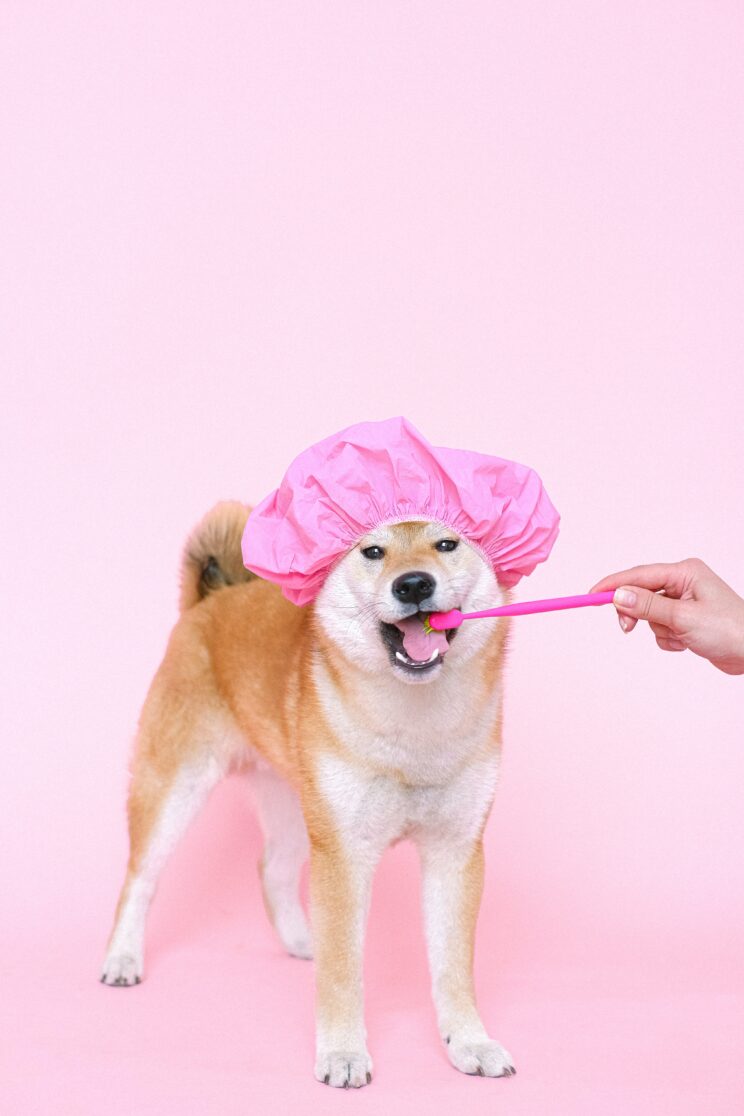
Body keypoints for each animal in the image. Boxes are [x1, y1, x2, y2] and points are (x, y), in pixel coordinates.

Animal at [100, 502, 517, 1084]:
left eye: (447, 544)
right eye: (373, 551)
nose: (413, 584)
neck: (414, 733)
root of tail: (210, 601)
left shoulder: (455, 853)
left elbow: (453, 967)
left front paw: (470, 1042)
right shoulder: (342, 854)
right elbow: (343, 970)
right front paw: (342, 1053)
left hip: (298, 810)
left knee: (270, 868)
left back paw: (303, 940)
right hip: (177, 788)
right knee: (139, 878)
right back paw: (122, 958)